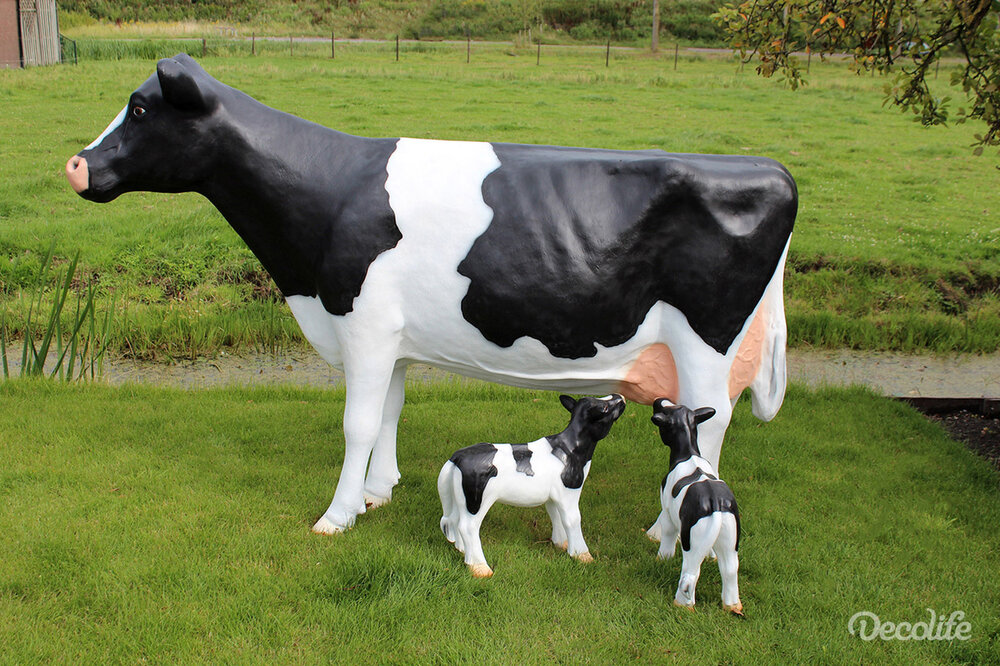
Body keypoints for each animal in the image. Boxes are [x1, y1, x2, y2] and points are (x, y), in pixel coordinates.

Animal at [64, 55, 796, 536]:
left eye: (140, 108)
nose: (76, 163)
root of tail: (771, 170)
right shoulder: (389, 335)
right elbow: (389, 411)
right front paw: (377, 493)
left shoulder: (361, 325)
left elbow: (358, 422)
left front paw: (336, 516)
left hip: (705, 343)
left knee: (708, 426)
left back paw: (665, 527)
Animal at [440, 394, 624, 576]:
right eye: (604, 408)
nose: (620, 396)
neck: (571, 449)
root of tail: (457, 457)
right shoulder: (569, 492)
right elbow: (572, 519)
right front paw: (582, 555)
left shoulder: (553, 496)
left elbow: (556, 516)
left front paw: (562, 544)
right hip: (477, 500)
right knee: (467, 527)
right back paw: (480, 568)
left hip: (461, 499)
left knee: (454, 520)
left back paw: (463, 551)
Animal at [648, 396, 744, 616]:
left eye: (666, 410)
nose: (659, 399)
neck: (688, 454)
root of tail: (716, 503)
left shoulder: (667, 510)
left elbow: (667, 534)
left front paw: (662, 559)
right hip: (730, 536)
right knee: (730, 569)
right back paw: (733, 606)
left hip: (692, 539)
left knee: (690, 573)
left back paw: (683, 605)